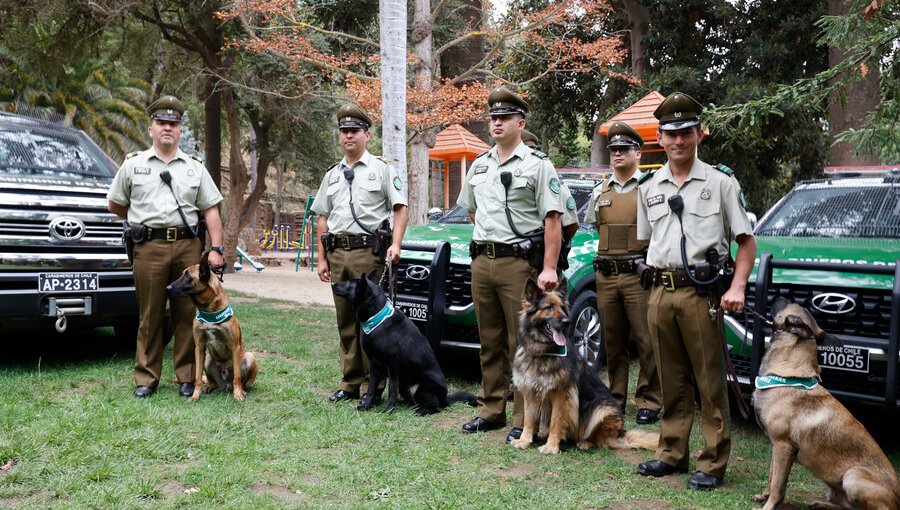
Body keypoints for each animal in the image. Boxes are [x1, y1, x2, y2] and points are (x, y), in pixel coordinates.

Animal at [326, 270, 474, 414]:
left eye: (348, 283)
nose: (332, 283)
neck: (377, 318)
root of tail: (445, 398)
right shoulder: (374, 365)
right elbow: (371, 389)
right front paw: (366, 406)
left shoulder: (393, 367)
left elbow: (391, 390)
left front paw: (387, 410)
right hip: (404, 385)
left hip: (421, 386)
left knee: (436, 406)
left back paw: (421, 410)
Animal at [510, 278, 656, 454]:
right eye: (549, 307)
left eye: (562, 307)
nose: (567, 322)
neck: (542, 352)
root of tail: (621, 434)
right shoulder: (530, 391)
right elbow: (529, 420)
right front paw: (524, 440)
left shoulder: (562, 395)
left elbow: (556, 422)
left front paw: (551, 447)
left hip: (601, 409)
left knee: (602, 441)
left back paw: (585, 443)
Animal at [756, 298, 896, 510]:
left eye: (788, 304)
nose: (779, 297)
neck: (787, 376)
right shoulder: (776, 446)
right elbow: (772, 477)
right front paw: (764, 495)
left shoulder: (783, 446)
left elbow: (777, 486)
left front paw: (769, 505)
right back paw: (821, 504)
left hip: (852, 476)